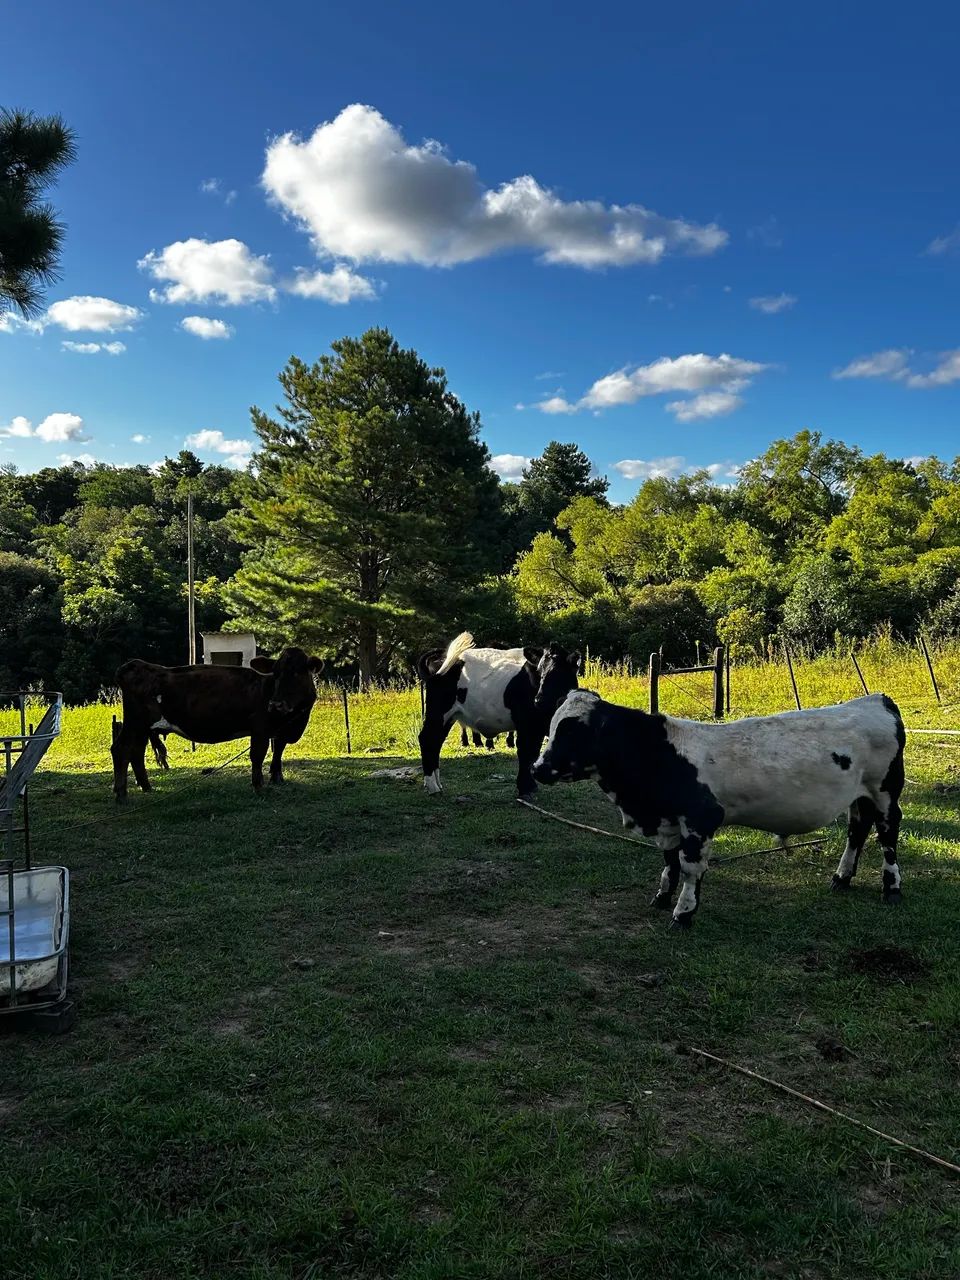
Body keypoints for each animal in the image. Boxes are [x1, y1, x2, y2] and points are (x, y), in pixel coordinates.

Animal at [111, 648, 323, 802]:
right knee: (122, 749)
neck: (295, 719)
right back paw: (121, 794)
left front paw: (277, 778)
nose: (275, 704)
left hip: (143, 728)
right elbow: (257, 756)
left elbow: (278, 751)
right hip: (135, 723)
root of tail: (135, 665)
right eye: (276, 674)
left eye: (297, 673)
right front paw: (258, 786)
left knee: (136, 752)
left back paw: (146, 788)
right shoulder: (260, 729)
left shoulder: (281, 730)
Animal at [417, 632, 581, 797]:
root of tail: (440, 657)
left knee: (436, 742)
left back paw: (437, 784)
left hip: (448, 716)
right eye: (539, 672)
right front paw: (524, 789)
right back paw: (433, 787)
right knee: (427, 739)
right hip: (438, 712)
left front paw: (531, 787)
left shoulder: (538, 726)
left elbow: (533, 753)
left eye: (558, 673)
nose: (539, 699)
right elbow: (526, 752)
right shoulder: (526, 724)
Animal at [532, 691, 905, 930]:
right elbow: (669, 861)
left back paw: (891, 887)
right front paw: (662, 897)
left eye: (576, 732)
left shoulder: (701, 818)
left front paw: (683, 913)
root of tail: (876, 700)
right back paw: (841, 878)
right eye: (552, 726)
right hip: (859, 796)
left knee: (888, 834)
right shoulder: (669, 821)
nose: (537, 768)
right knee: (857, 830)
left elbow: (690, 867)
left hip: (885, 791)